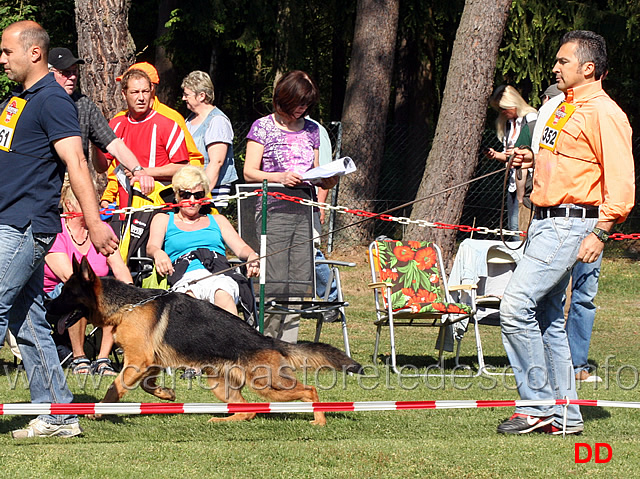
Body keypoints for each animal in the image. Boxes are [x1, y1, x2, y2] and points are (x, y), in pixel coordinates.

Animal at [47, 256, 362, 426]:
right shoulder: (148, 363)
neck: (128, 305)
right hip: (220, 385)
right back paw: (222, 420)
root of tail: (268, 340)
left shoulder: (137, 362)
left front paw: (99, 411)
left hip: (269, 385)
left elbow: (115, 388)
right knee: (249, 411)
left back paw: (318, 419)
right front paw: (167, 394)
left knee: (310, 390)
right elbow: (148, 385)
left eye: (67, 294)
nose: (47, 309)